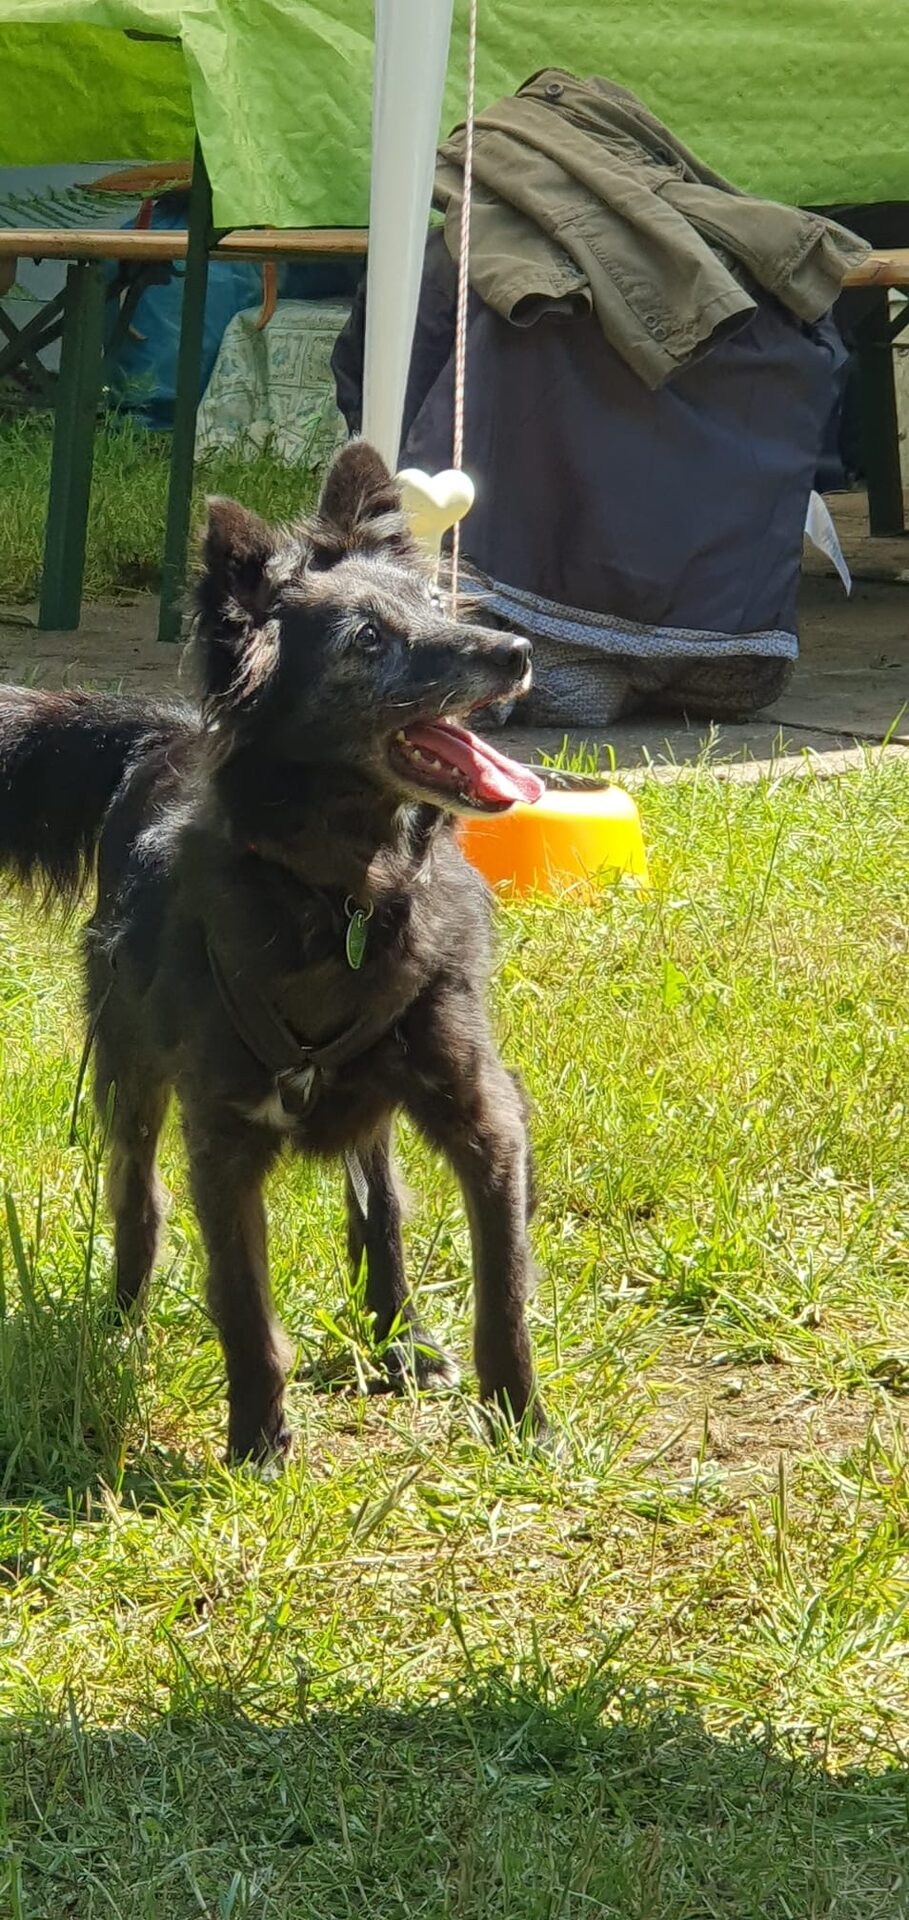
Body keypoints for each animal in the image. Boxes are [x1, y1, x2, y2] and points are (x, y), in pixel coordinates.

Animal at [0, 442, 547, 1461]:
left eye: (435, 604)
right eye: (367, 640)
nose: (516, 654)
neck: (348, 897)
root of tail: (163, 731)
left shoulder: (481, 1110)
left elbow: (503, 1289)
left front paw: (520, 1424)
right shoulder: (222, 1137)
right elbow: (242, 1304)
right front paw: (256, 1441)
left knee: (379, 1206)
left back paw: (401, 1340)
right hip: (128, 1067)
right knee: (136, 1195)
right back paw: (123, 1323)